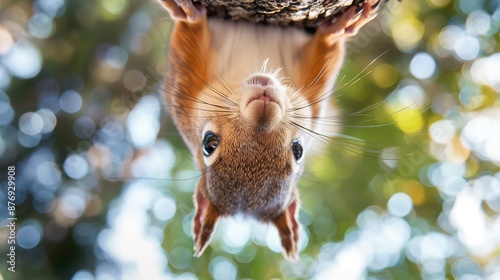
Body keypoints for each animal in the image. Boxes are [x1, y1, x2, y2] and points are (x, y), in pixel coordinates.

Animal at [158, 0, 380, 260]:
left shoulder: (313, 101)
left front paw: (337, 29)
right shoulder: (185, 89)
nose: (263, 111)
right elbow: (189, 40)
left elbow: (324, 55)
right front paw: (189, 15)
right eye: (208, 143)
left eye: (298, 150)